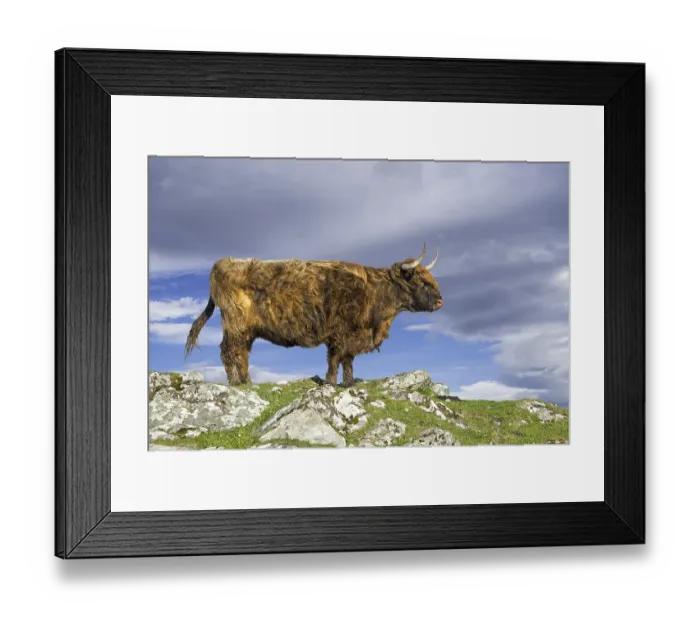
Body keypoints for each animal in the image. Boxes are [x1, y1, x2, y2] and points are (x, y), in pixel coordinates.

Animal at [185, 243, 442, 387]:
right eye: (421, 281)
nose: (440, 301)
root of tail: (222, 263)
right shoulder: (339, 332)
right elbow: (335, 359)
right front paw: (330, 383)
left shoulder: (351, 335)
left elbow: (348, 360)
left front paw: (349, 384)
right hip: (235, 323)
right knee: (228, 351)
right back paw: (236, 383)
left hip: (247, 330)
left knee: (242, 354)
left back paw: (247, 382)